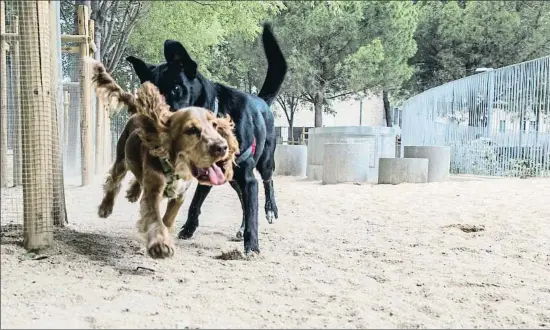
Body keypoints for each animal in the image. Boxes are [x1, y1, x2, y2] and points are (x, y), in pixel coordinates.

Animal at [126, 24, 288, 254]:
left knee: (267, 181)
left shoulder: (248, 178)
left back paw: (270, 210)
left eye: (176, 88)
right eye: (150, 98)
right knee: (238, 197)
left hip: (264, 160)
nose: (159, 126)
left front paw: (252, 246)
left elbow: (252, 210)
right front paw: (188, 228)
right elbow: (196, 202)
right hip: (230, 177)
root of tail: (261, 99)